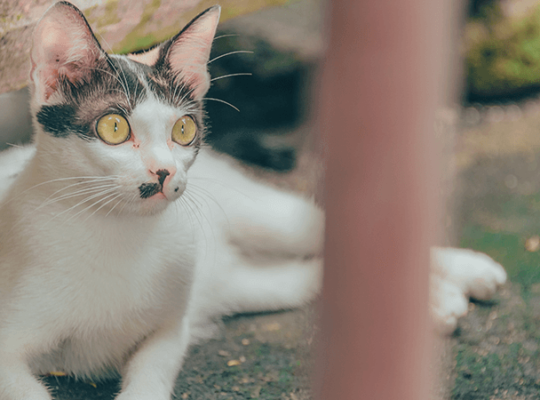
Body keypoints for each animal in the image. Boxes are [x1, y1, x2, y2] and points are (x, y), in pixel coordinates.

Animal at [0, 1, 506, 398]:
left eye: (183, 129)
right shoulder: (7, 355)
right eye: (113, 127)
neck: (116, 234)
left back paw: (469, 273)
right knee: (306, 275)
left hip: (265, 217)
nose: (164, 172)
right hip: (240, 283)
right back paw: (437, 300)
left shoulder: (170, 329)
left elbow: (151, 375)